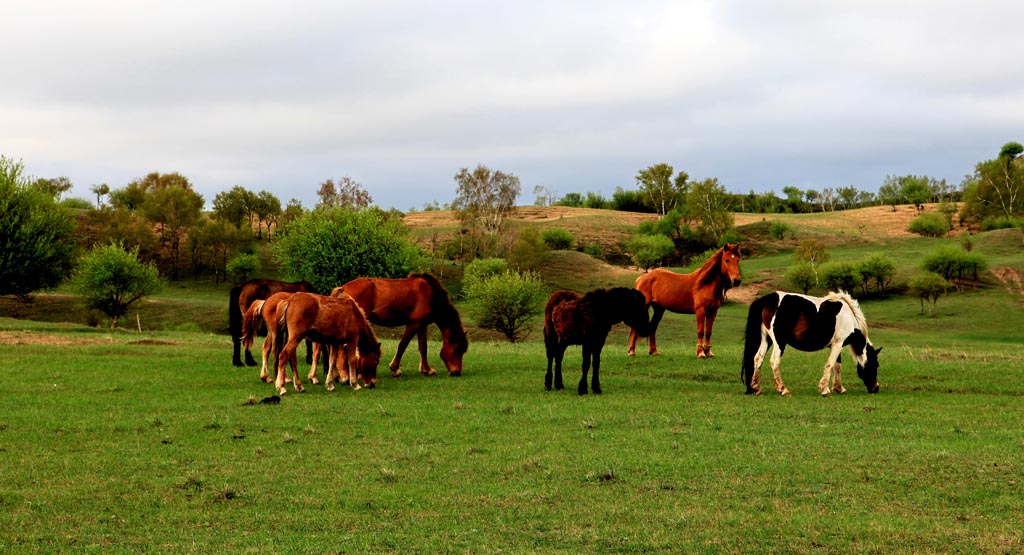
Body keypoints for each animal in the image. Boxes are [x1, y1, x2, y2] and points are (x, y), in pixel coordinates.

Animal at [331, 274, 468, 378]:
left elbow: (423, 348)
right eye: (457, 350)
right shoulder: (414, 324)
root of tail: (343, 289)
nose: (457, 372)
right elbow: (402, 345)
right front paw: (395, 369)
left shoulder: (422, 325)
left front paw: (427, 369)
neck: (430, 294)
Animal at [745, 292, 880, 397]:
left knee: (758, 359)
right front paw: (825, 390)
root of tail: (767, 299)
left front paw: (839, 388)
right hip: (779, 342)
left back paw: (756, 388)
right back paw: (783, 390)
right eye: (875, 365)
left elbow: (837, 366)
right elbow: (830, 365)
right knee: (774, 362)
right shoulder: (838, 344)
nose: (876, 388)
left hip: (766, 340)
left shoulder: (837, 345)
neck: (849, 318)